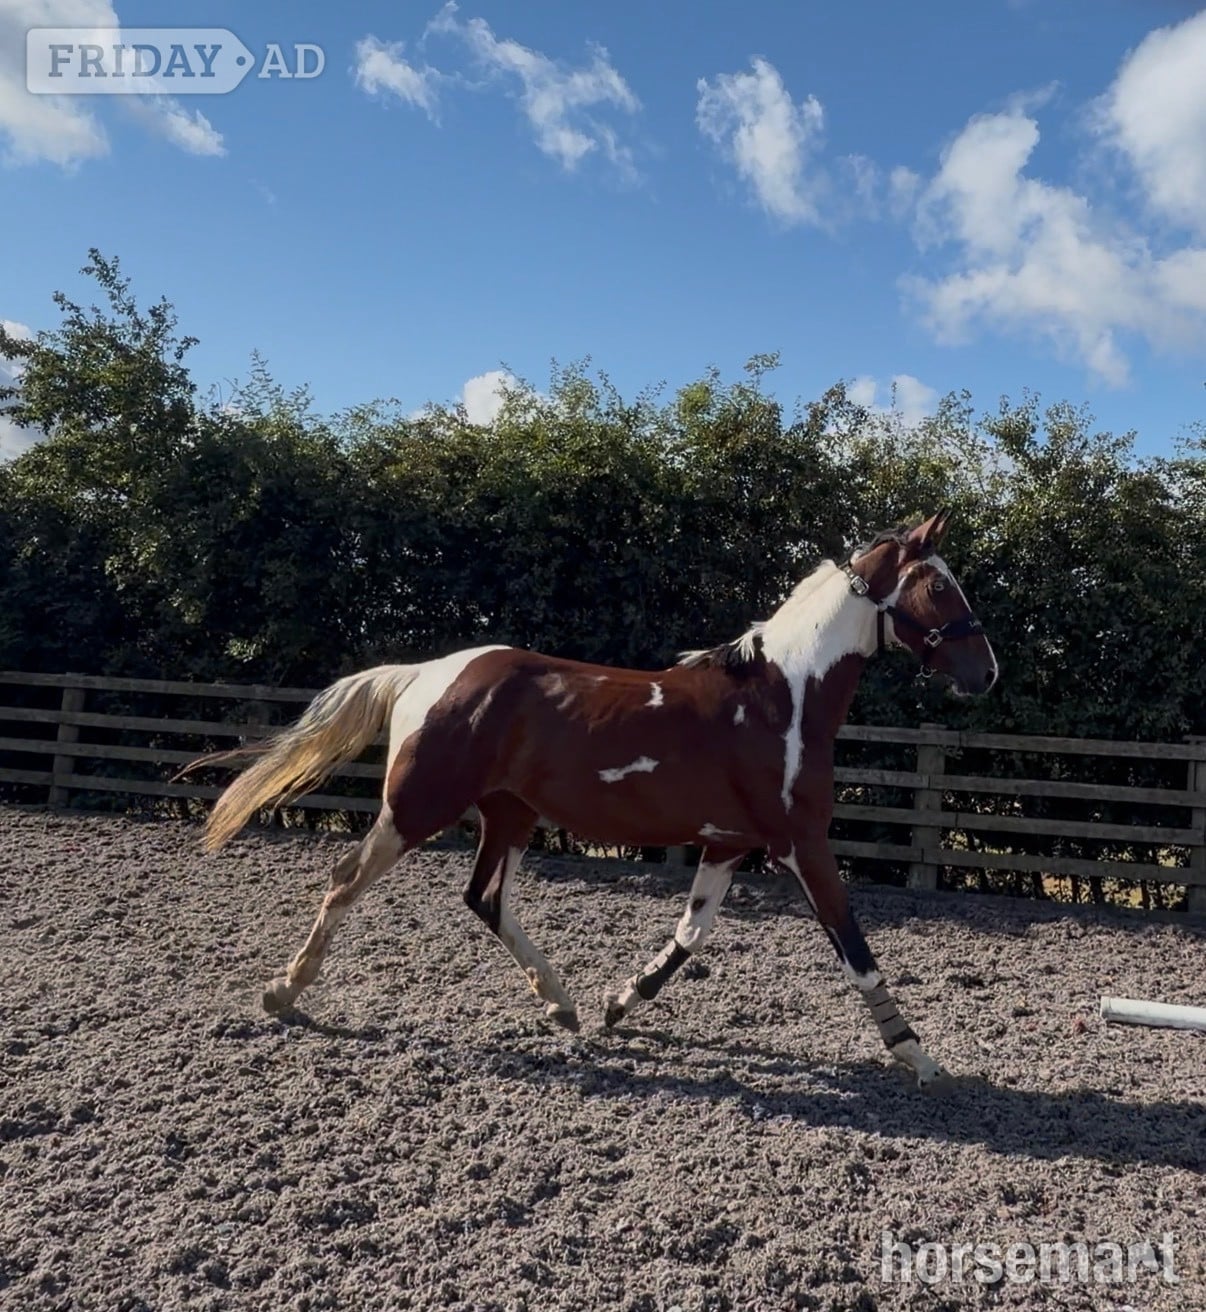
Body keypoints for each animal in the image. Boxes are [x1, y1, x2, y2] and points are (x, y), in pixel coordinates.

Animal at [186, 507, 996, 1089]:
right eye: (938, 586)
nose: (985, 672)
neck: (783, 698)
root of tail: (425, 673)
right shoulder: (800, 843)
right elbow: (853, 943)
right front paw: (917, 1055)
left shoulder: (729, 844)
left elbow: (688, 937)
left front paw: (616, 1006)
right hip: (418, 807)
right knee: (346, 880)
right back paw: (285, 992)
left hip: (509, 814)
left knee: (484, 899)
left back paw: (562, 1002)